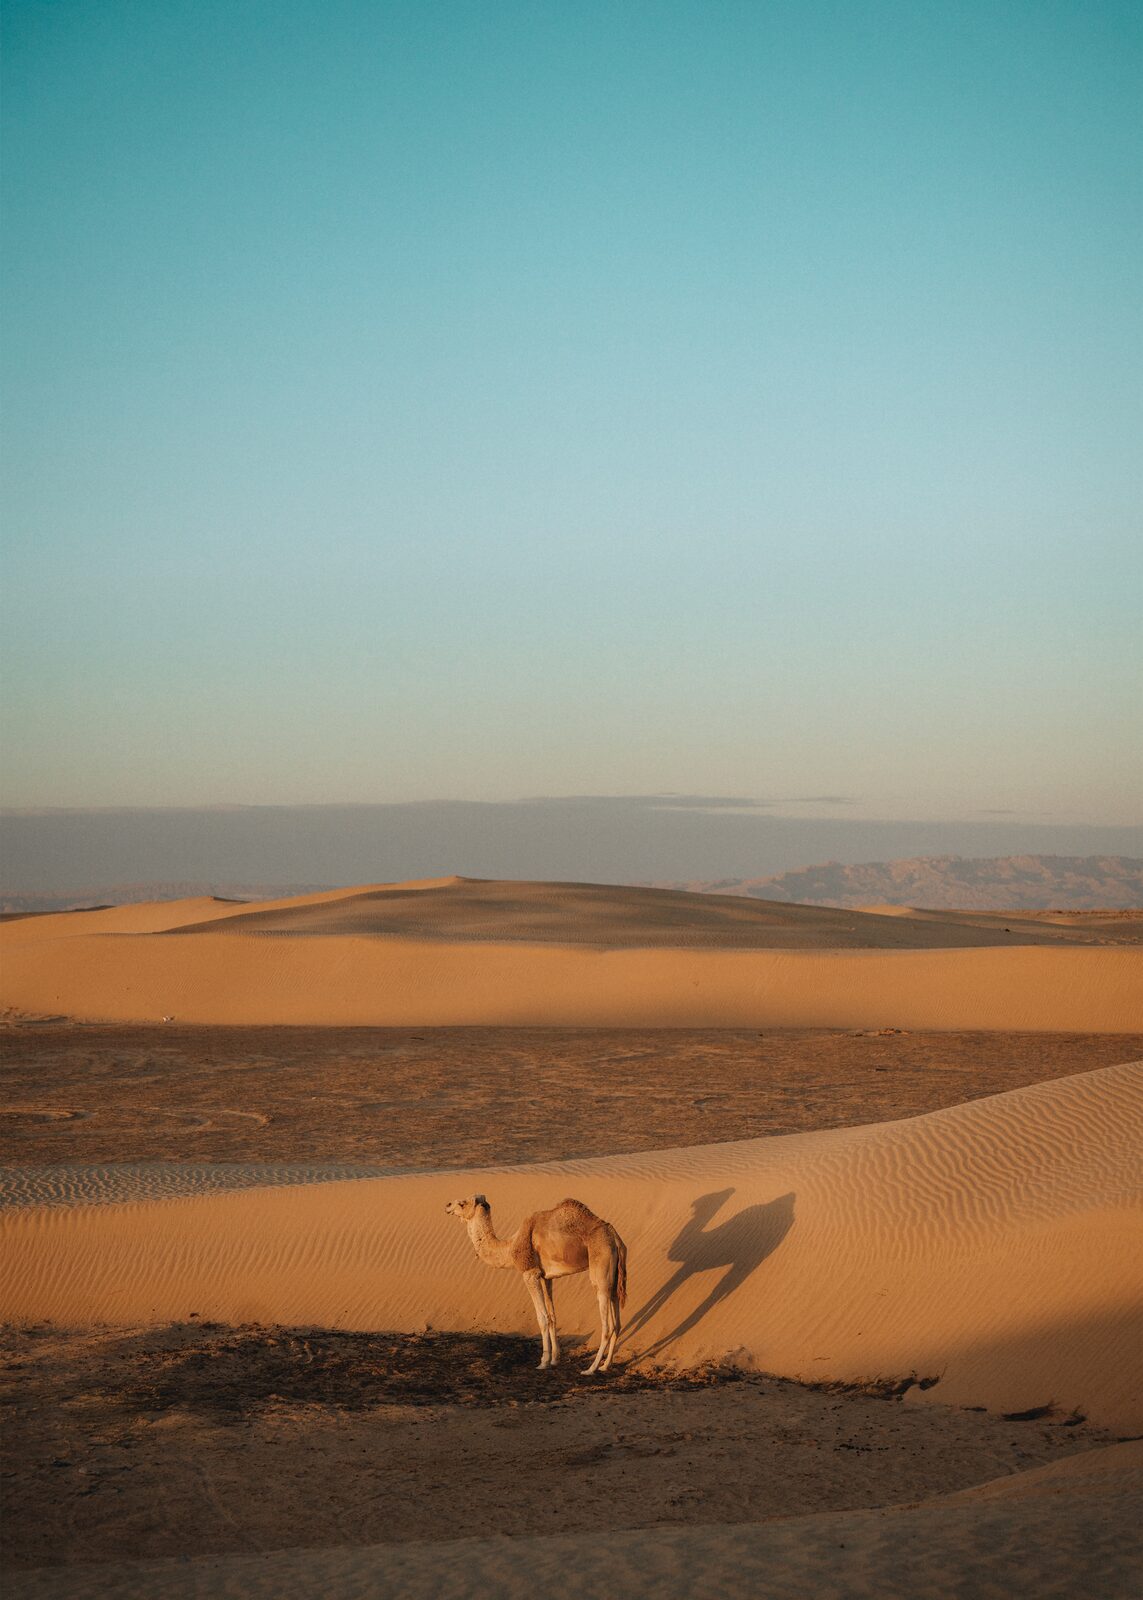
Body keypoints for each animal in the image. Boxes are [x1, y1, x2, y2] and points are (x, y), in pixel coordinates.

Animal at [445, 1195, 627, 1372]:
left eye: (462, 1203)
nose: (447, 1205)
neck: (510, 1247)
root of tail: (616, 1238)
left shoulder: (530, 1273)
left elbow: (542, 1318)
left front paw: (543, 1362)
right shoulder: (546, 1277)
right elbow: (552, 1316)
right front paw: (554, 1360)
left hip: (601, 1270)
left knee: (606, 1325)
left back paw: (591, 1368)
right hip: (614, 1278)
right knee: (616, 1323)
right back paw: (605, 1365)